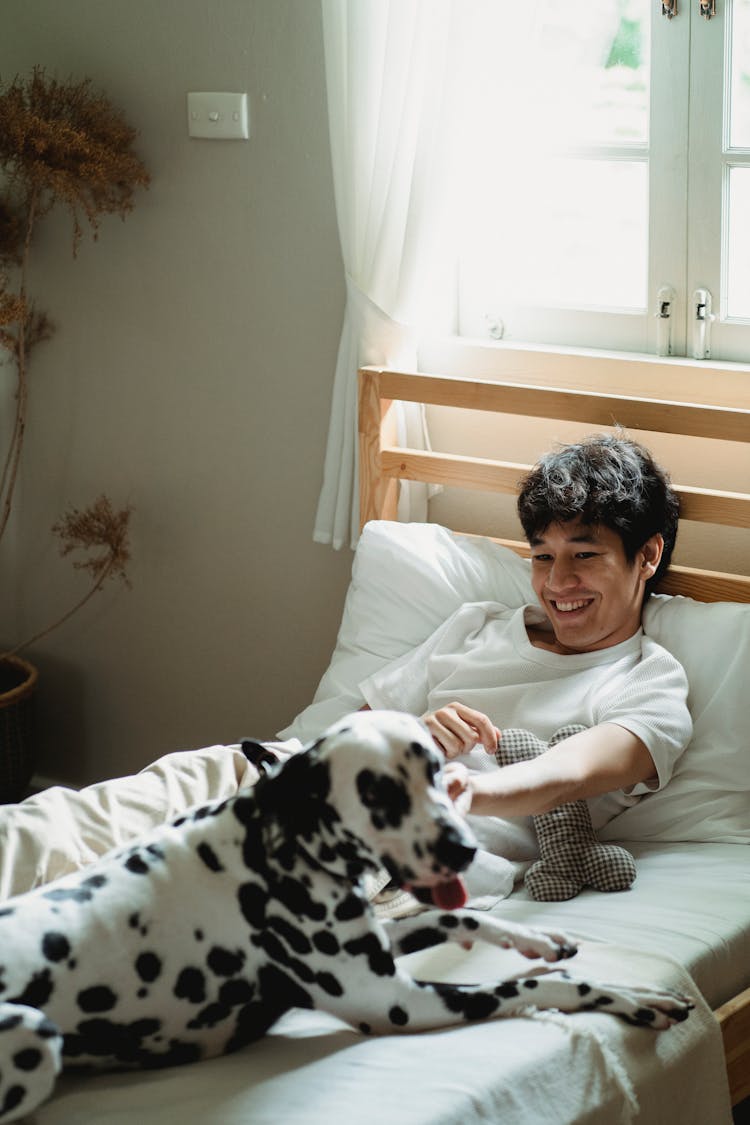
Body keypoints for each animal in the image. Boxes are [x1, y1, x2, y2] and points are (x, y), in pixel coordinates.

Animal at [0, 706, 692, 1120]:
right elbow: (537, 988)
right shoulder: (395, 1002)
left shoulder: (382, 939)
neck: (275, 842)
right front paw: (629, 997)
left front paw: (537, 937)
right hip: (36, 1033)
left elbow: (463, 919)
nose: (462, 848)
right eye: (376, 792)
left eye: (437, 771)